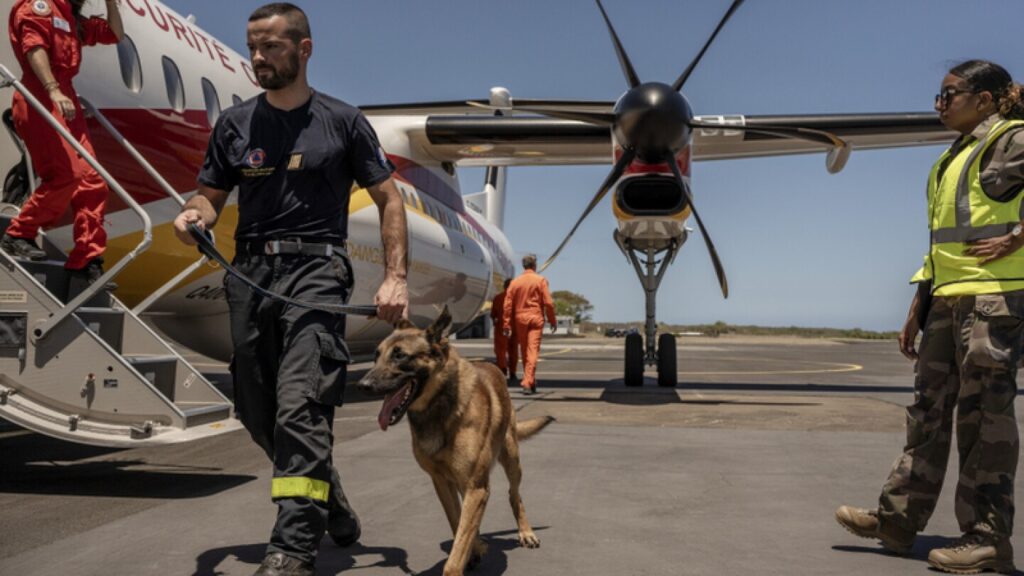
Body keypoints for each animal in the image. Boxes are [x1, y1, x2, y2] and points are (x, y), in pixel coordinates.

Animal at [358, 305, 552, 569]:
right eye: (376, 355)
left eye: (400, 356)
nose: (363, 385)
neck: (439, 409)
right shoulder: (442, 482)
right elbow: (457, 521)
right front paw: (473, 548)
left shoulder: (475, 486)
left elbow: (459, 543)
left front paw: (463, 556)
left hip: (511, 460)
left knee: (514, 495)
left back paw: (526, 532)